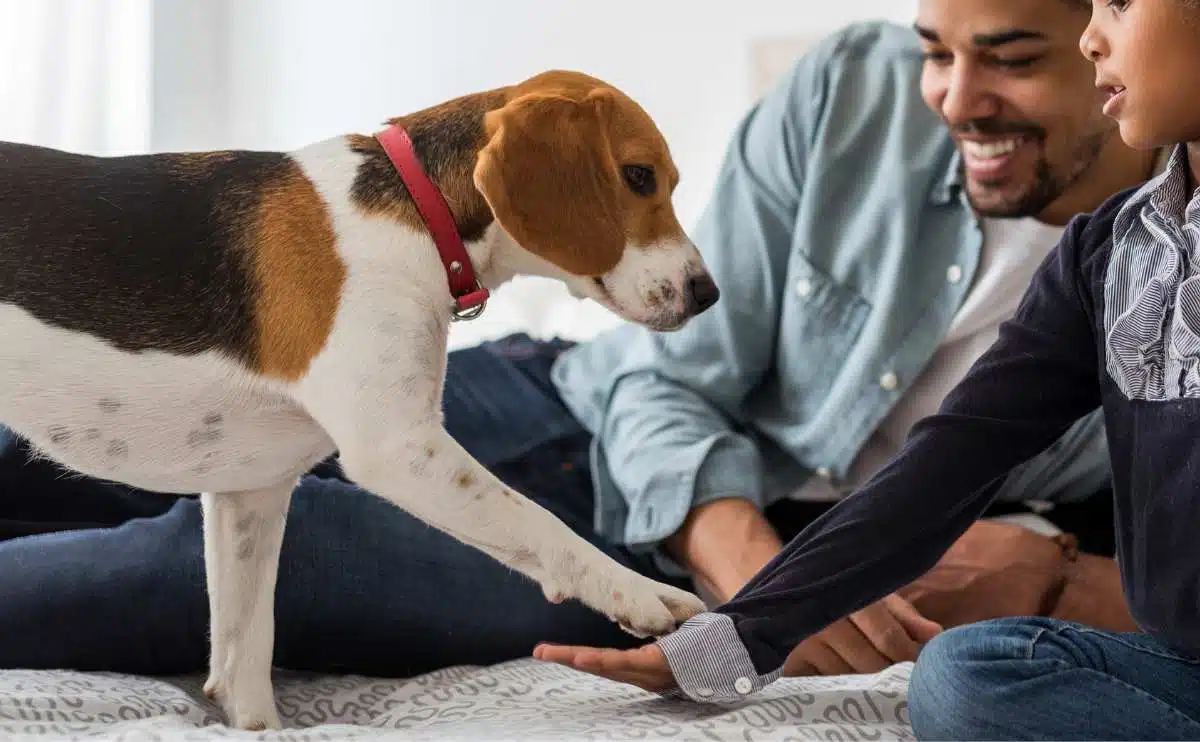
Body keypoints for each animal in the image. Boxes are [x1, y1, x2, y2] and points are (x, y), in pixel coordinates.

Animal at [0, 69, 715, 729]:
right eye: (639, 176)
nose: (706, 294)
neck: (420, 210)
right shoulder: (399, 448)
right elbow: (541, 521)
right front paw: (641, 592)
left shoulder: (250, 493)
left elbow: (244, 654)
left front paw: (261, 727)